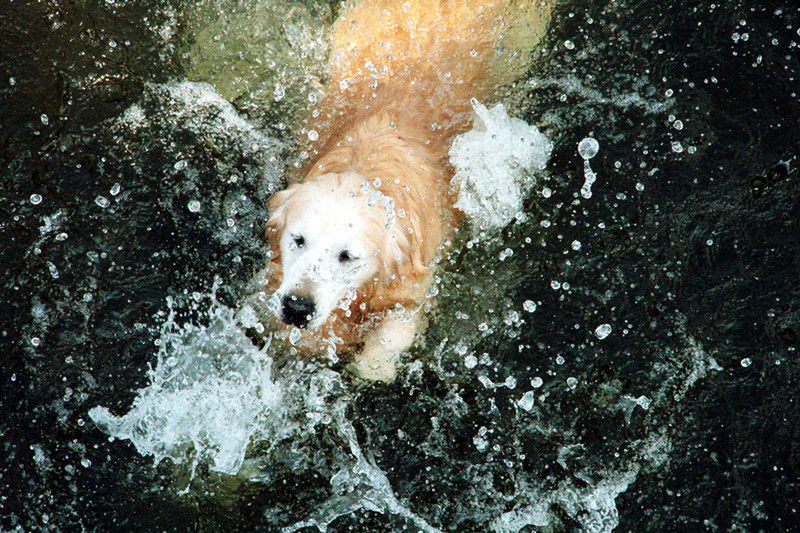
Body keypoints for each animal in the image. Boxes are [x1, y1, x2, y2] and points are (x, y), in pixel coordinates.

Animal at [262, 1, 552, 382]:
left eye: (347, 255)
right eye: (297, 239)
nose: (297, 307)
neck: (369, 166)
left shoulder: (417, 265)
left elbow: (399, 320)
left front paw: (374, 362)